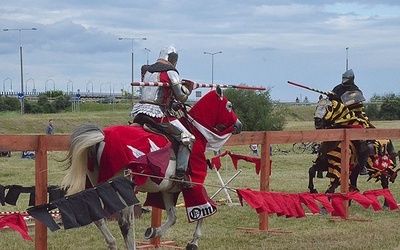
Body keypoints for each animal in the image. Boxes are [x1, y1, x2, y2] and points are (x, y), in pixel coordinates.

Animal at [59, 87, 241, 249]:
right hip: (123, 186)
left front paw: (154, 232)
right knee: (124, 223)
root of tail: (101, 138)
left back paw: (112, 243)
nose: (239, 125)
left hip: (100, 185)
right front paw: (193, 242)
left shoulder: (168, 190)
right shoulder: (196, 183)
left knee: (99, 217)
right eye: (229, 105)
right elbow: (203, 210)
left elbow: (173, 217)